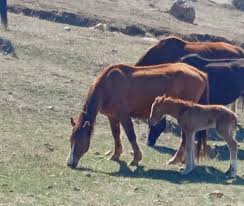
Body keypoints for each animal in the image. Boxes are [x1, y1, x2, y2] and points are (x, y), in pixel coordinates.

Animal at [66, 63, 208, 169]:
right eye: (71, 139)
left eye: (80, 141)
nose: (70, 163)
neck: (108, 85)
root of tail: (201, 74)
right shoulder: (112, 117)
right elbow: (116, 135)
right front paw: (115, 155)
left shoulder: (124, 115)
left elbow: (131, 135)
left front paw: (135, 159)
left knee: (184, 138)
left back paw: (175, 159)